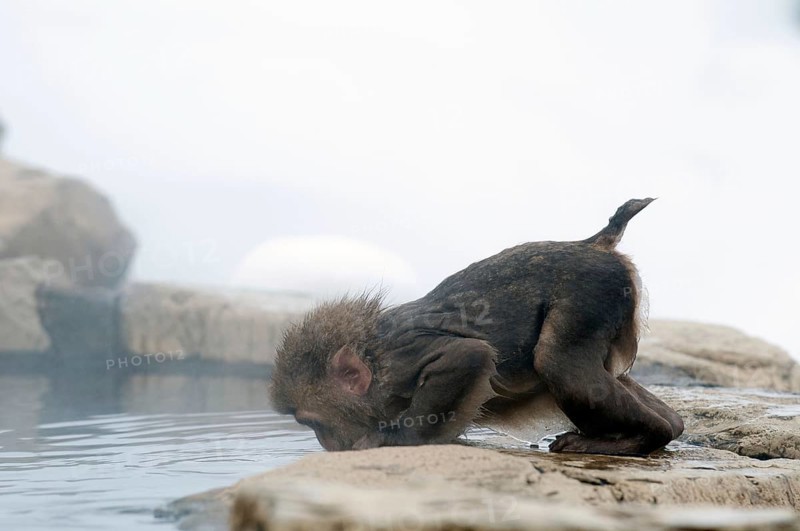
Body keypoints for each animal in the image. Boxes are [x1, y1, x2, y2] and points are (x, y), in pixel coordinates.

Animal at [269, 198, 684, 456]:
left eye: (313, 423)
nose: (325, 444)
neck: (372, 356)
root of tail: (593, 243)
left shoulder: (398, 363)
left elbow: (466, 354)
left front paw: (398, 438)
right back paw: (672, 428)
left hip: (591, 290)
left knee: (559, 364)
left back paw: (641, 438)